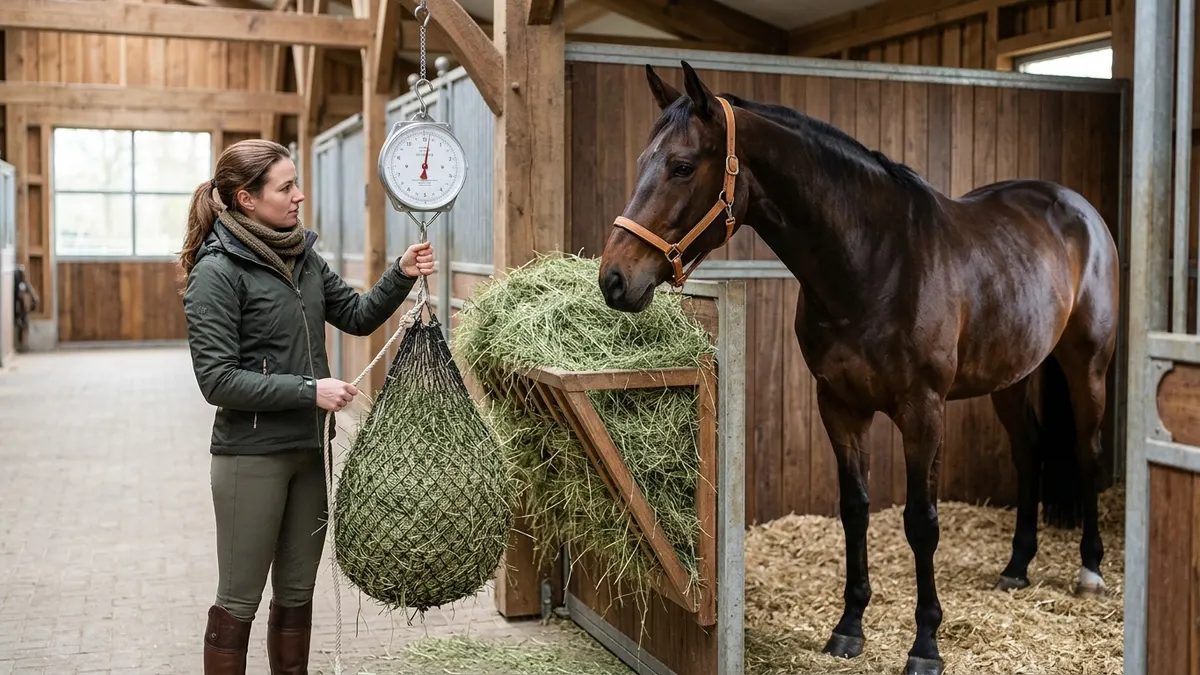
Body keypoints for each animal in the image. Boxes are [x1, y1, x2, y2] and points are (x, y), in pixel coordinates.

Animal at [597, 62, 1118, 675]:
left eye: (681, 166)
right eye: (641, 162)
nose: (614, 279)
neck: (875, 262)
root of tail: (1077, 209)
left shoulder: (923, 412)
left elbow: (921, 522)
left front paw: (926, 645)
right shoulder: (840, 406)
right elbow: (854, 510)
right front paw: (848, 627)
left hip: (1087, 364)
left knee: (1086, 453)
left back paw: (1090, 570)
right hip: (1011, 376)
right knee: (1029, 450)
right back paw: (1016, 567)